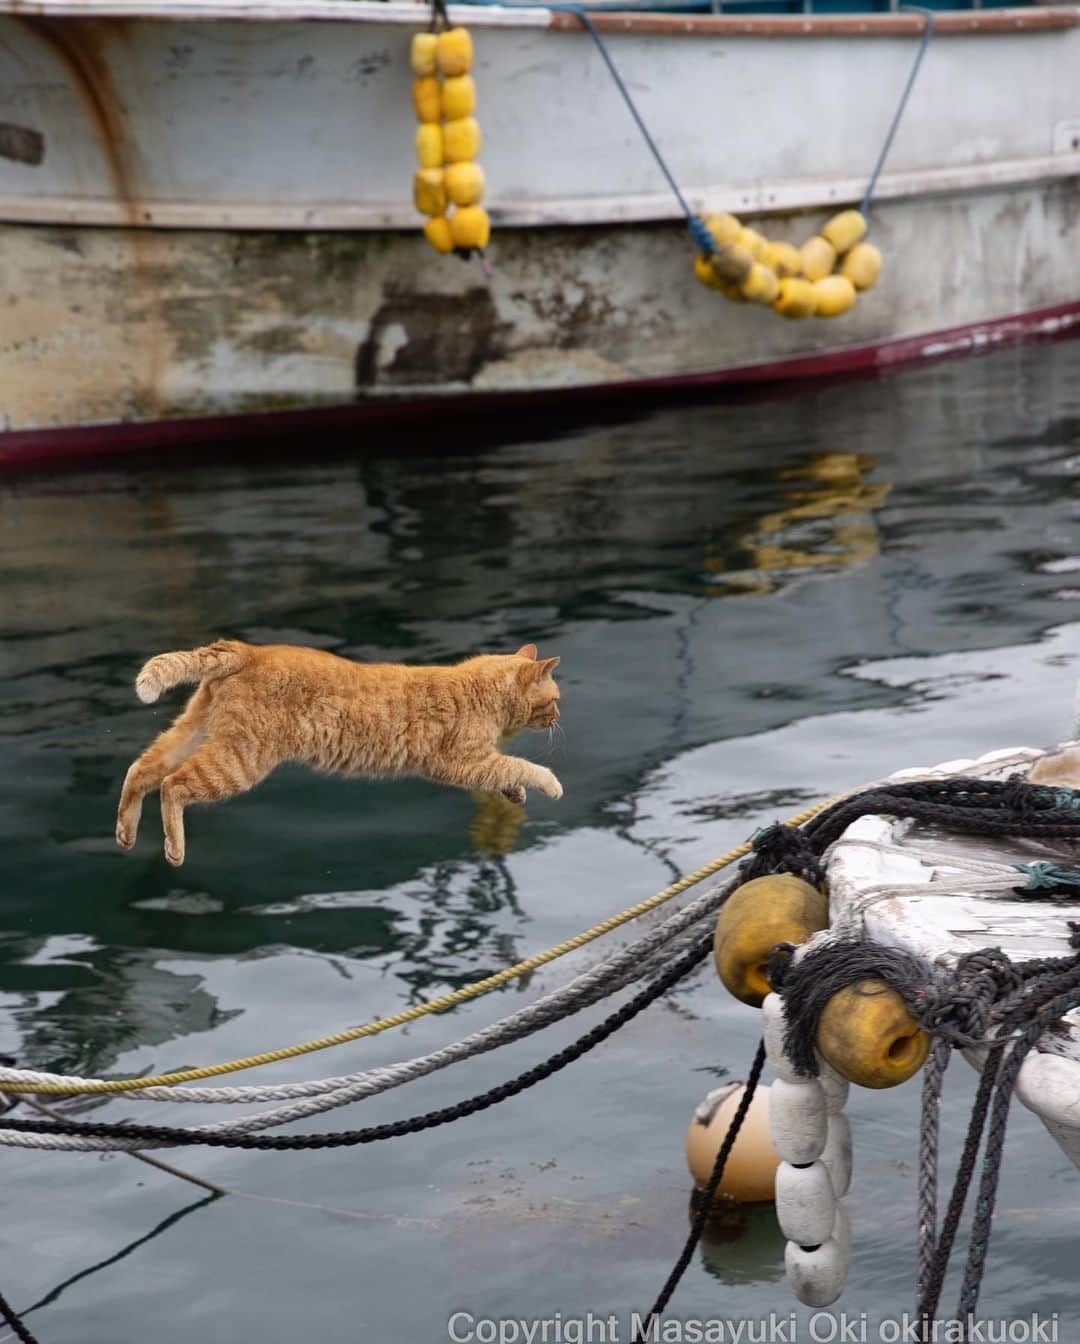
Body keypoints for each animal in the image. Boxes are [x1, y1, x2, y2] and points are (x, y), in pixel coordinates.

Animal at [114, 642, 561, 870]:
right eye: (555, 700)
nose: (559, 716)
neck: (480, 690)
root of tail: (251, 648)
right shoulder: (463, 762)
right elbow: (520, 765)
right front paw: (550, 784)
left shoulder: (476, 763)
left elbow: (506, 772)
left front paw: (517, 794)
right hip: (240, 760)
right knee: (172, 786)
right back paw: (174, 850)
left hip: (195, 731)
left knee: (141, 769)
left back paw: (125, 833)